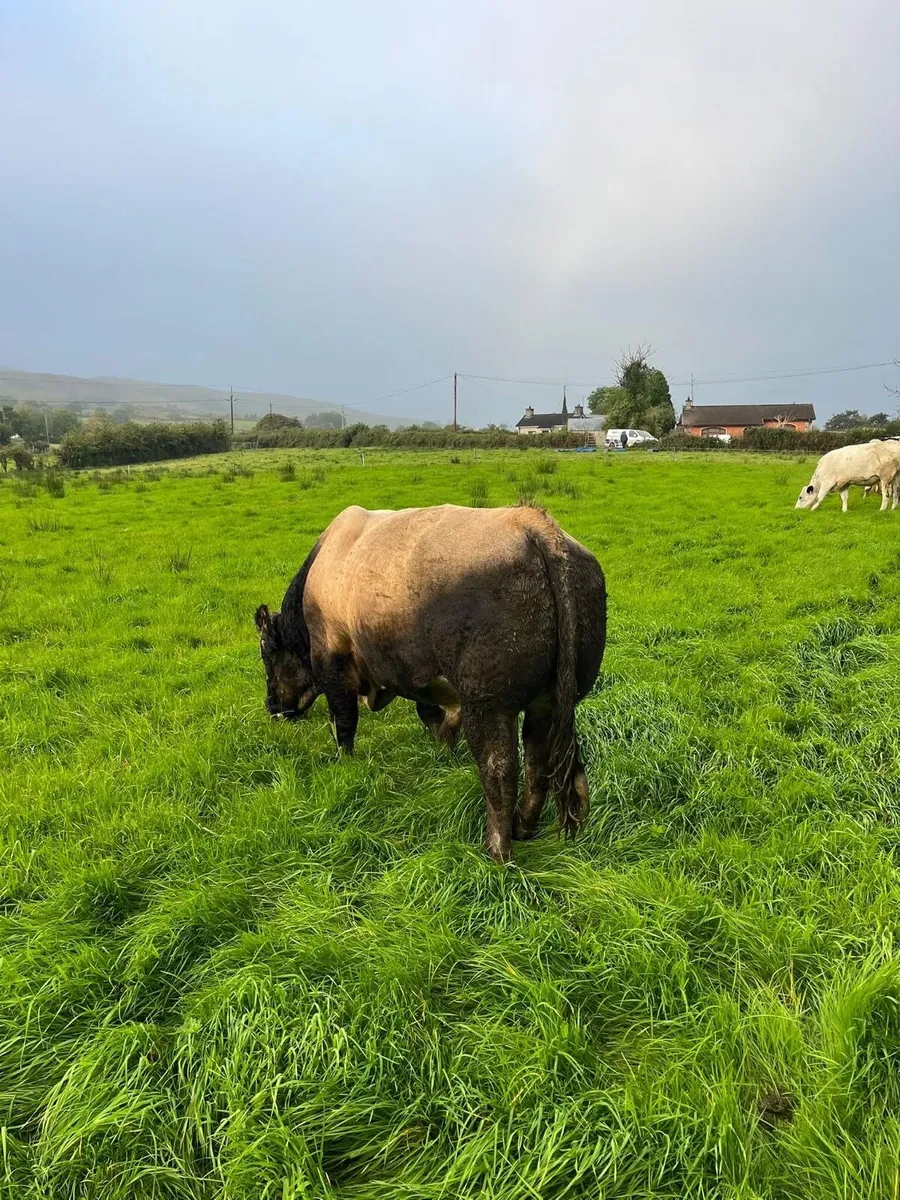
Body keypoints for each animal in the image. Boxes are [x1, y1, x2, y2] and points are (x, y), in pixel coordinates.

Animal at [255, 504, 607, 862]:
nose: (272, 707)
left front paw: (345, 765)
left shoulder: (333, 661)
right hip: (546, 703)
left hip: (488, 704)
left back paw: (497, 850)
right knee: (537, 764)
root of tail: (531, 523)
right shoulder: (418, 675)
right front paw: (445, 748)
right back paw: (523, 828)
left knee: (500, 769)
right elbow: (431, 716)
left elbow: (344, 723)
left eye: (266, 655)